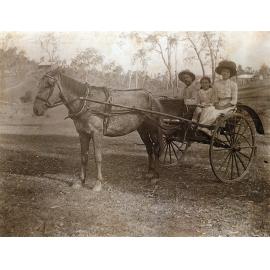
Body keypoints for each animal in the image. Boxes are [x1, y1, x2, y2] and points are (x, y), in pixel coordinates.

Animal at [33, 68, 165, 191]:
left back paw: (156, 176)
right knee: (149, 148)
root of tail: (152, 96)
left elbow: (98, 157)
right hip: (142, 129)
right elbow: (83, 157)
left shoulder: (96, 133)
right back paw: (150, 173)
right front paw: (81, 181)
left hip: (153, 129)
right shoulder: (83, 134)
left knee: (156, 148)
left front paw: (98, 183)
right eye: (39, 84)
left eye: (49, 84)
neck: (86, 102)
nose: (36, 109)